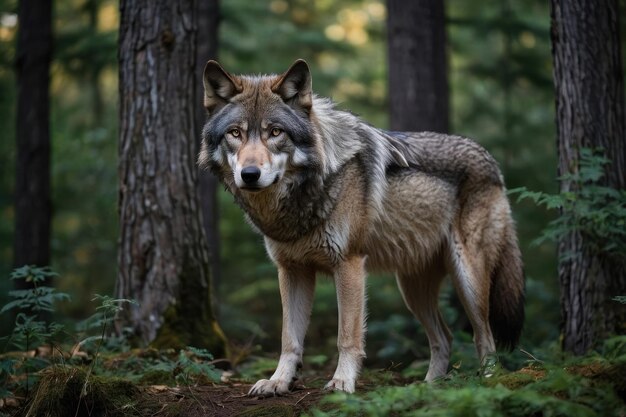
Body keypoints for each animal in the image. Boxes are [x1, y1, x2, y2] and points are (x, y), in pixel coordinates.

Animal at [199, 59, 520, 396]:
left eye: (275, 132)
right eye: (235, 133)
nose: (249, 174)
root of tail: (491, 161)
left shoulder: (349, 264)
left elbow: (347, 336)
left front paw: (342, 382)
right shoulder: (291, 270)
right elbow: (289, 338)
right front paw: (278, 381)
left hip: (468, 278)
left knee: (484, 335)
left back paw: (488, 382)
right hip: (412, 290)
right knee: (444, 337)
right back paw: (427, 388)